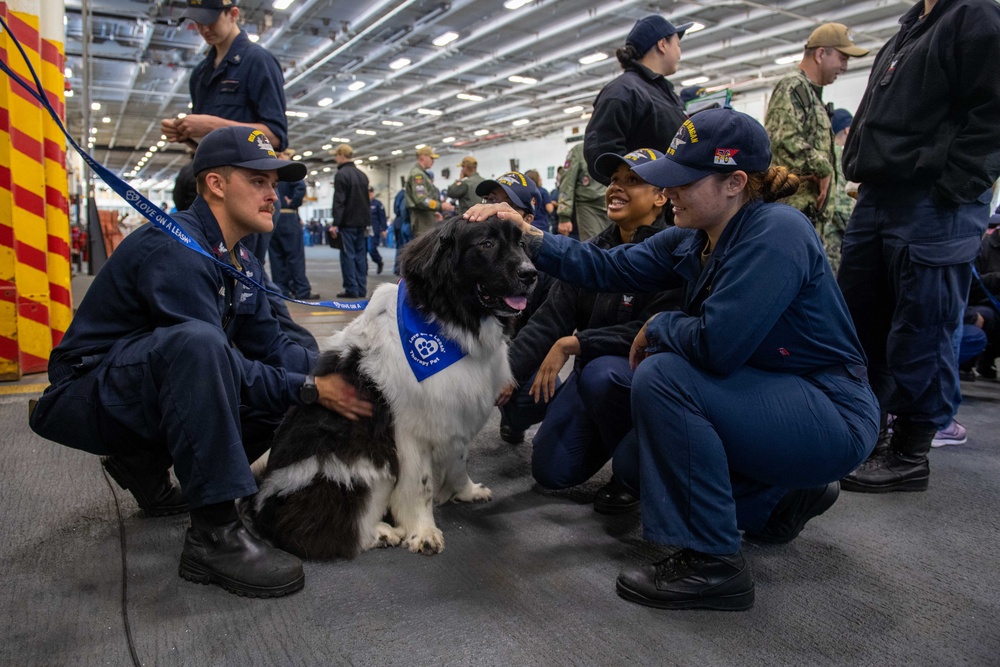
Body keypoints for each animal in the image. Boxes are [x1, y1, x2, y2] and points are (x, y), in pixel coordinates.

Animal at [247, 218, 536, 560]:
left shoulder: (454, 414)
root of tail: (262, 505)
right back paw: (383, 533)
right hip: (363, 465)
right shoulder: (410, 430)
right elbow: (421, 485)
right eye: (486, 244)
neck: (449, 325)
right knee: (328, 529)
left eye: (521, 243)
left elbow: (458, 459)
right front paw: (423, 532)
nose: (531, 273)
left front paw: (465, 491)